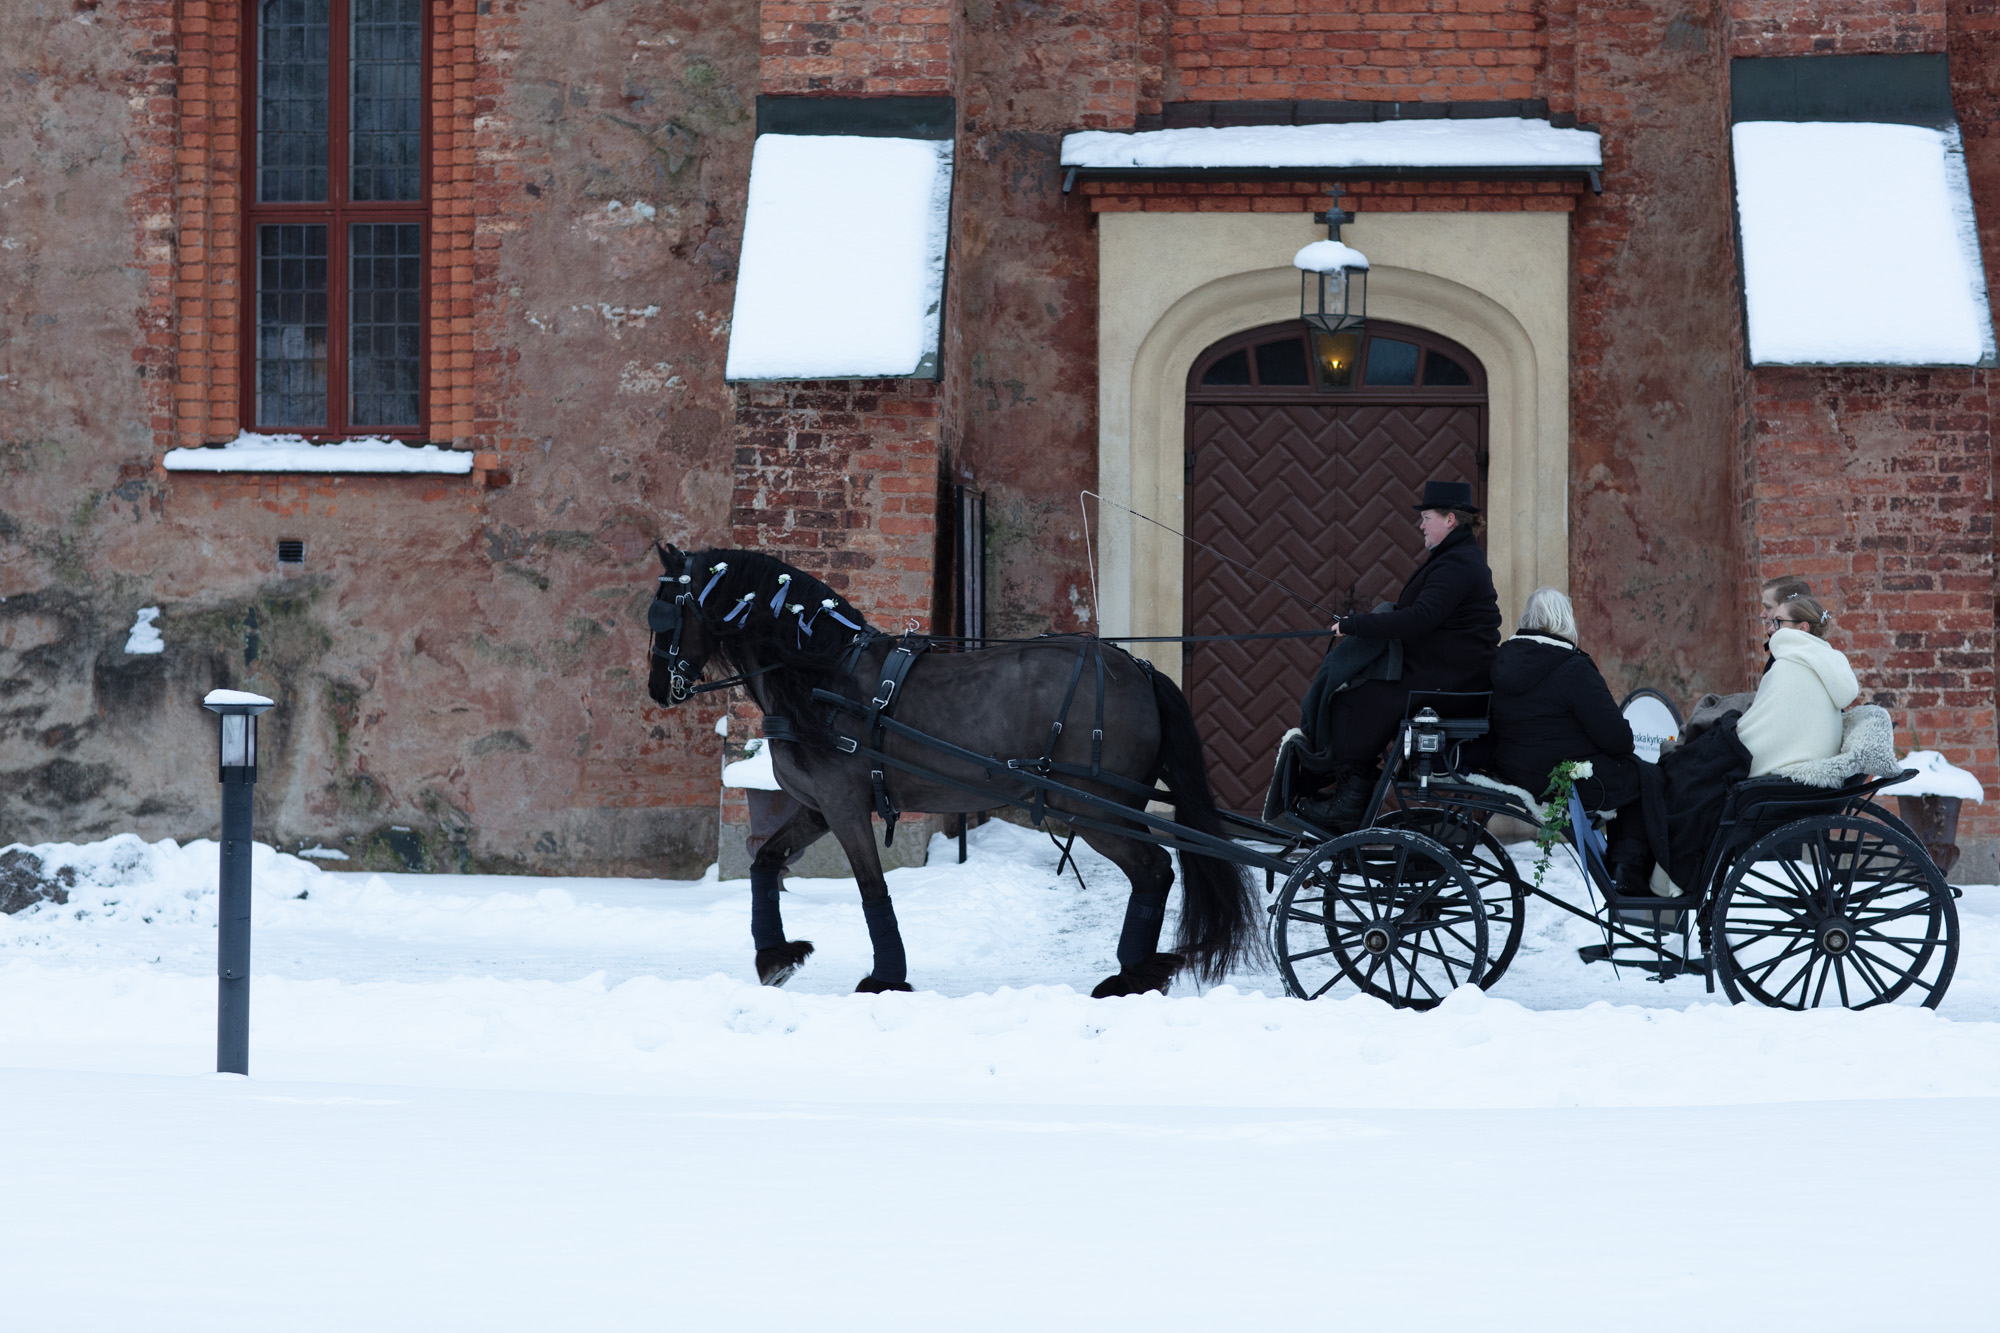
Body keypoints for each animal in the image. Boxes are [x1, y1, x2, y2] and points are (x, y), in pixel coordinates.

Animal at [648, 544, 1256, 996]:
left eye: (666, 611)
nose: (658, 688)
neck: (821, 680)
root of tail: (1139, 668)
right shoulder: (816, 808)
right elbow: (765, 863)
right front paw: (775, 956)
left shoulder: (844, 807)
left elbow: (872, 889)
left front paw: (885, 978)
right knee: (1154, 871)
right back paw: (1139, 971)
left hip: (1089, 807)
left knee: (1154, 869)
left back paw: (1133, 974)